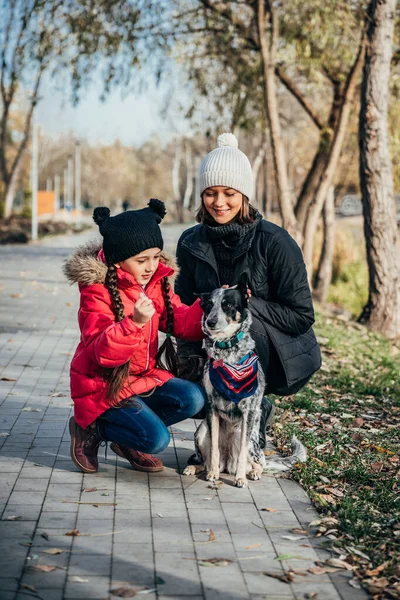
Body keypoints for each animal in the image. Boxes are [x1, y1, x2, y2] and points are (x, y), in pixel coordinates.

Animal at [184, 282, 306, 488]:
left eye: (227, 305)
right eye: (208, 305)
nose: (210, 322)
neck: (226, 350)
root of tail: (227, 464)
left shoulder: (248, 411)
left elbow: (242, 454)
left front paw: (240, 479)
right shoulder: (211, 408)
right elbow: (214, 448)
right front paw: (212, 474)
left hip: (250, 441)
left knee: (259, 463)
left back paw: (252, 473)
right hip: (201, 431)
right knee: (205, 460)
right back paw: (197, 468)